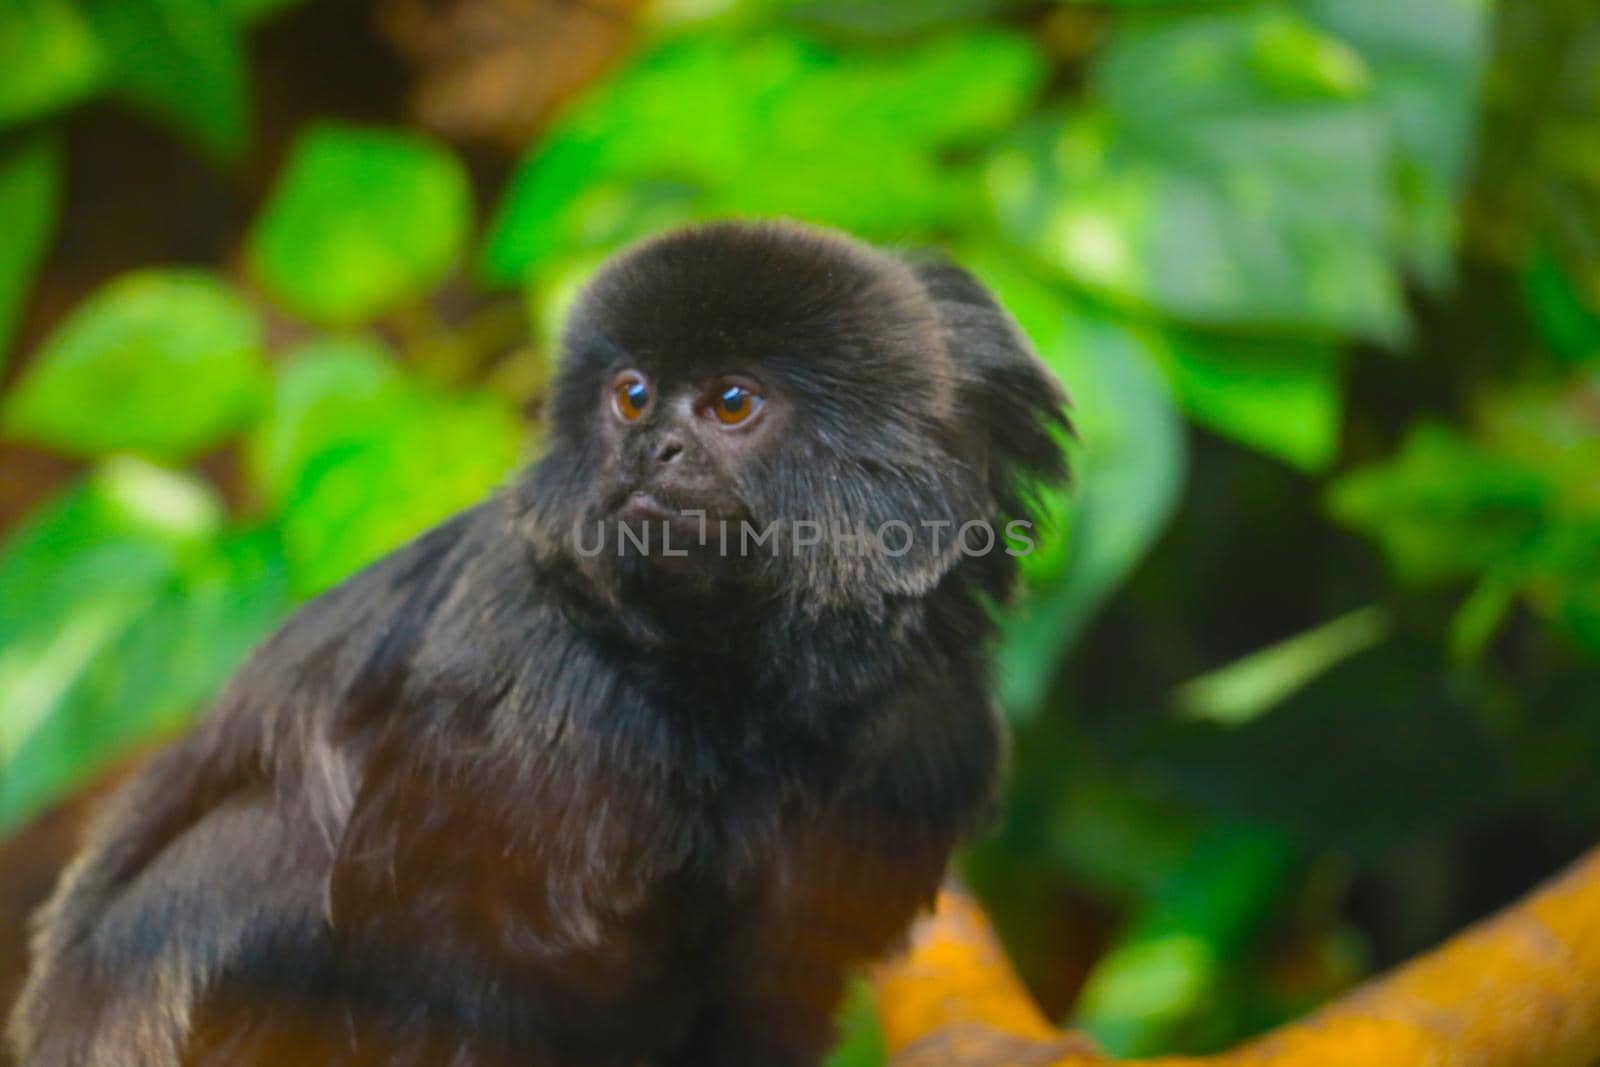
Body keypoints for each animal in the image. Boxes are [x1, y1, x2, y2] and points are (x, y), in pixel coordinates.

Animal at [12, 219, 1068, 1067]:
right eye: (633, 396)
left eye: (730, 404)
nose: (649, 450)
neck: (740, 682)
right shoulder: (529, 687)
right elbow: (457, 957)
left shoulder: (921, 735)